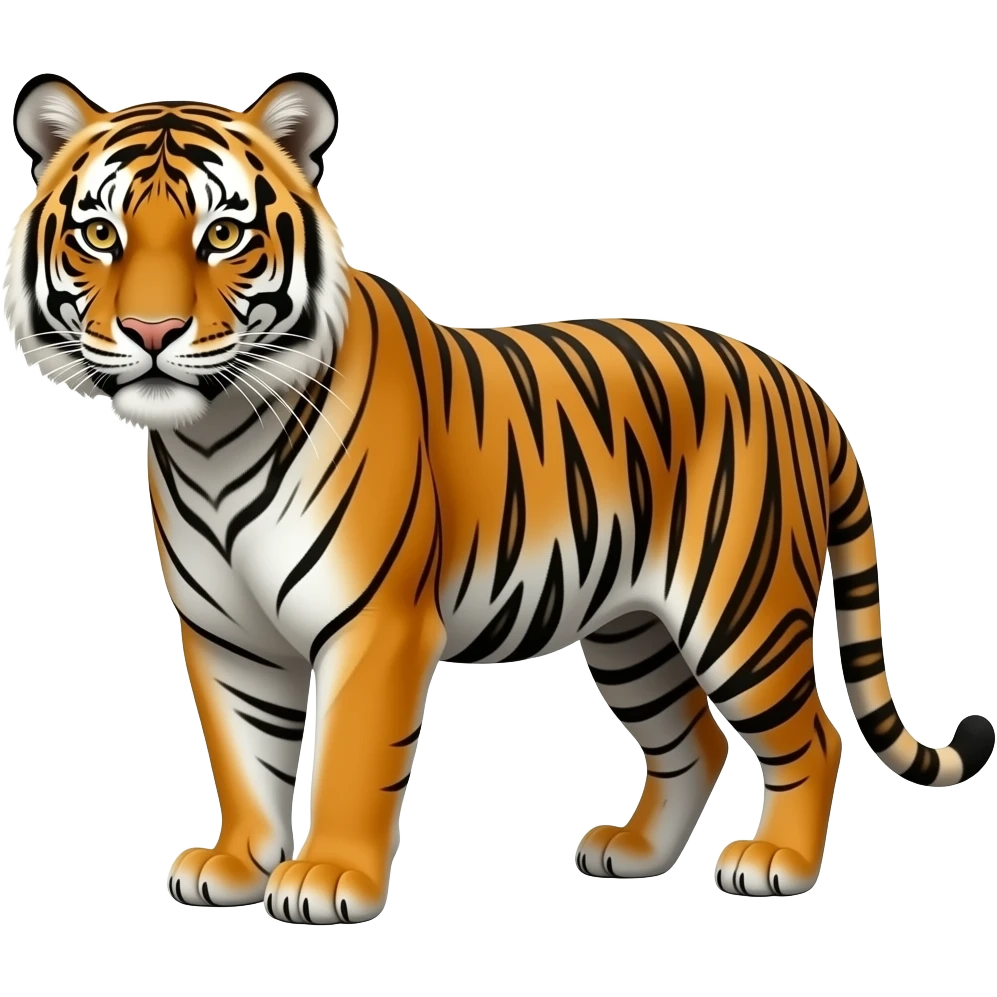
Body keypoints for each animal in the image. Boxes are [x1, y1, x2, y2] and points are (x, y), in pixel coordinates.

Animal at [3, 70, 993, 923]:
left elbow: (351, 755)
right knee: (694, 741)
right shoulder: (225, 632)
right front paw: (238, 864)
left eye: (222, 236)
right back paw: (632, 853)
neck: (211, 438)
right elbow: (244, 754)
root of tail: (799, 385)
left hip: (739, 609)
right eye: (100, 235)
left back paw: (775, 862)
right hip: (629, 630)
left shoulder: (376, 622)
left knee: (814, 736)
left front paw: (327, 878)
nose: (152, 331)